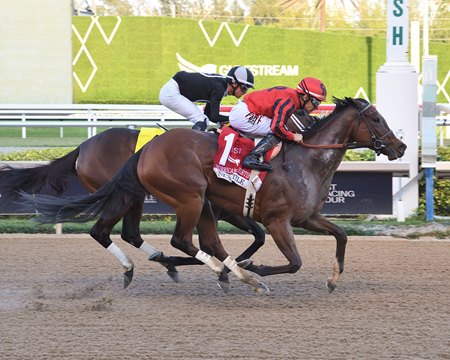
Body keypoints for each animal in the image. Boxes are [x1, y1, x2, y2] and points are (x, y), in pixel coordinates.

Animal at [17, 97, 406, 292]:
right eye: (376, 119)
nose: (400, 146)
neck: (303, 159)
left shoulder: (306, 216)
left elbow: (341, 235)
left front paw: (333, 278)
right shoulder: (277, 220)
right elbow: (292, 261)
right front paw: (255, 268)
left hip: (184, 200)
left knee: (174, 239)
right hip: (180, 196)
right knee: (170, 239)